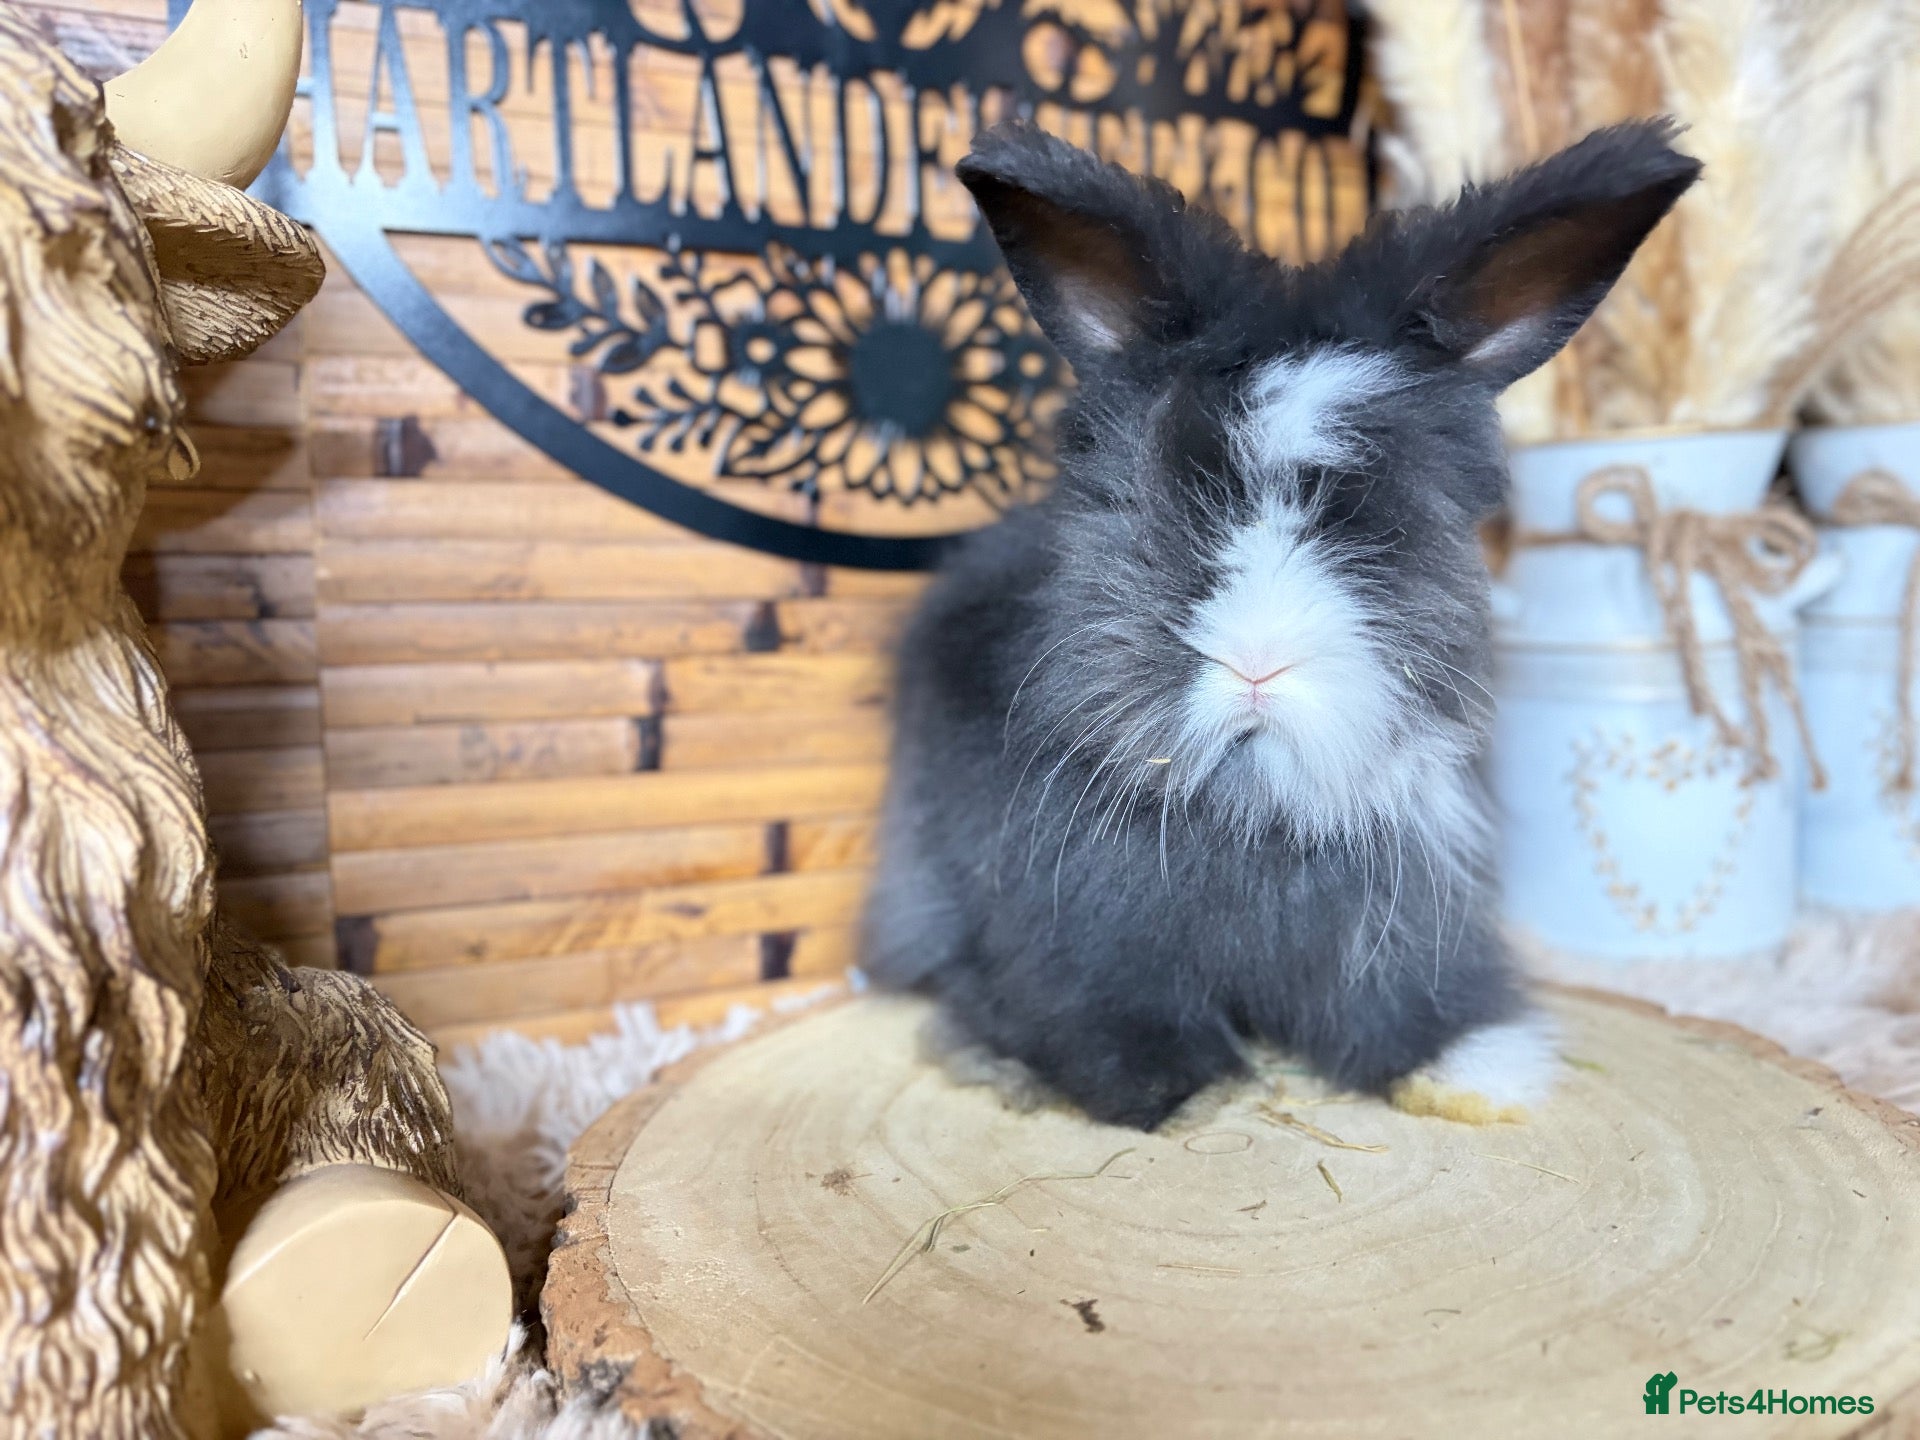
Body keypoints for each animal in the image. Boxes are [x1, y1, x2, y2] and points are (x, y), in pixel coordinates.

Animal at [860, 118, 1701, 1131]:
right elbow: (1103, 1022)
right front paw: (1172, 1091)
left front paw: (1473, 1077)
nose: (1258, 664)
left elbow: (1407, 1012)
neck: (1255, 796)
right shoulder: (1072, 944)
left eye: (1377, 518)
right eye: (1170, 497)